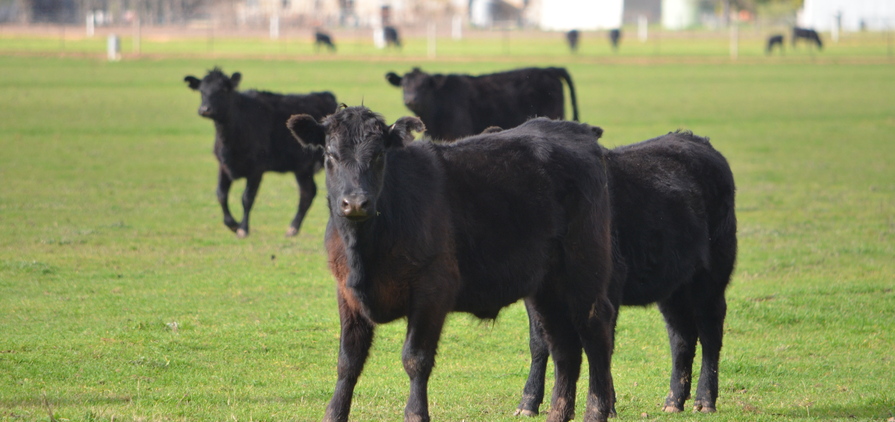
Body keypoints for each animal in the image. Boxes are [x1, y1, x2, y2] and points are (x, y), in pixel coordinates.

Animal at [183, 68, 338, 238]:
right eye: (202, 91)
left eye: (223, 90)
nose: (205, 109)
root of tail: (326, 95)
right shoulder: (223, 166)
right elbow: (221, 195)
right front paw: (233, 224)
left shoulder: (256, 169)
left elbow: (247, 198)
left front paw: (243, 228)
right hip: (302, 168)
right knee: (307, 193)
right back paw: (292, 228)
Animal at [286, 106, 617, 422]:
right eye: (330, 155)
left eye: (379, 155)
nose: (355, 202)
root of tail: (574, 129)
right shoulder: (347, 293)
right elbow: (348, 361)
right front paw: (334, 413)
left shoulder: (432, 290)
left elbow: (415, 358)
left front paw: (416, 413)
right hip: (546, 287)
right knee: (564, 347)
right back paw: (557, 413)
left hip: (584, 267)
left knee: (595, 331)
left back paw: (597, 411)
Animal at [514, 130, 737, 416]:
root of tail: (696, 139)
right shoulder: (537, 297)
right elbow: (539, 342)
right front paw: (528, 402)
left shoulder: (608, 287)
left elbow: (602, 344)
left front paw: (605, 406)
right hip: (673, 286)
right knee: (682, 337)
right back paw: (674, 400)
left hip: (711, 277)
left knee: (710, 332)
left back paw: (705, 400)